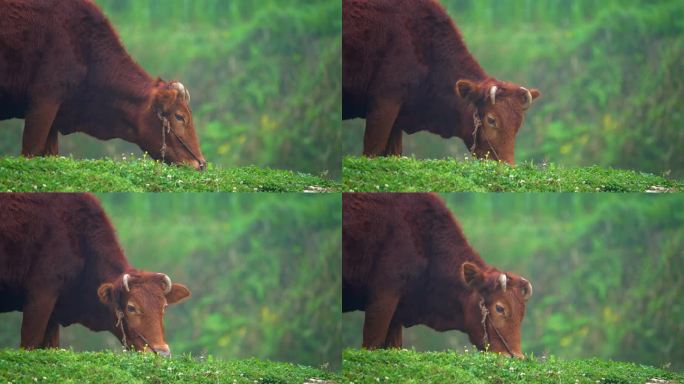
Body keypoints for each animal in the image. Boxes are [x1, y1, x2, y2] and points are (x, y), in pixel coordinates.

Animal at [0, 194, 191, 356]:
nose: (161, 353)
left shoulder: (53, 314)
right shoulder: (40, 297)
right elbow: (29, 343)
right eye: (131, 307)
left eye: (164, 307)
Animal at [342, 194, 536, 358]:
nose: (515, 357)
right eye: (499, 308)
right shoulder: (382, 298)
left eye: (522, 313)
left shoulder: (397, 313)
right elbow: (372, 343)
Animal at [344, 0, 544, 164]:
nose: (507, 166)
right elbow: (372, 151)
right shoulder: (384, 101)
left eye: (518, 124)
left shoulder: (397, 115)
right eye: (491, 120)